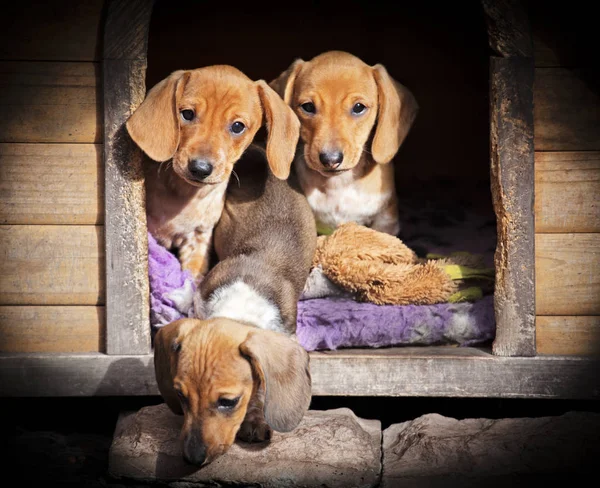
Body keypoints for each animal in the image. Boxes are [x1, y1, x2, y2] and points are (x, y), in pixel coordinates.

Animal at [126, 66, 298, 284]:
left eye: (237, 126)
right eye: (187, 114)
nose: (200, 168)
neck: (186, 195)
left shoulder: (198, 239)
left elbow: (193, 276)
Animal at [152, 148, 316, 466]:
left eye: (228, 402)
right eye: (180, 396)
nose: (192, 458)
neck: (241, 304)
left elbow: (262, 387)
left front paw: (255, 420)